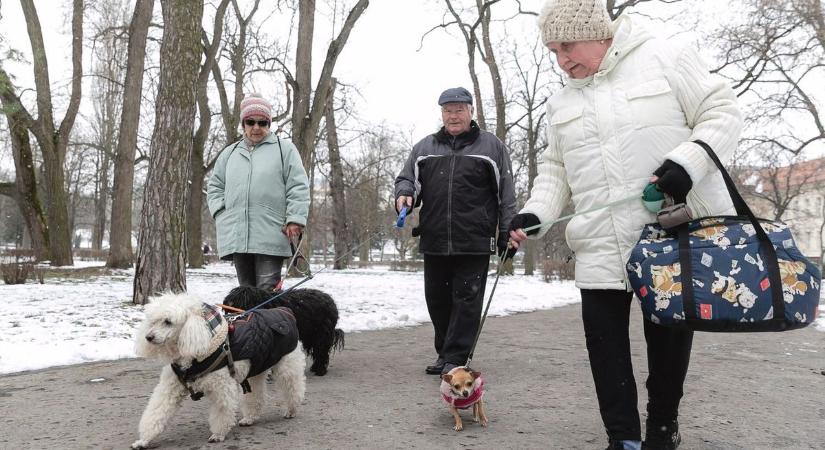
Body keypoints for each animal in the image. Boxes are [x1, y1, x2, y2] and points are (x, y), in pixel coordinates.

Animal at [132, 294, 306, 448]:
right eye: (152, 322)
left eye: (168, 322)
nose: (148, 337)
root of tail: (285, 311)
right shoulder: (170, 388)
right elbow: (157, 411)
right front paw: (143, 440)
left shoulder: (222, 388)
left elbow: (222, 411)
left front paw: (218, 434)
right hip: (257, 368)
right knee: (256, 395)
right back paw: (249, 418)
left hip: (286, 365)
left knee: (293, 387)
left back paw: (291, 410)